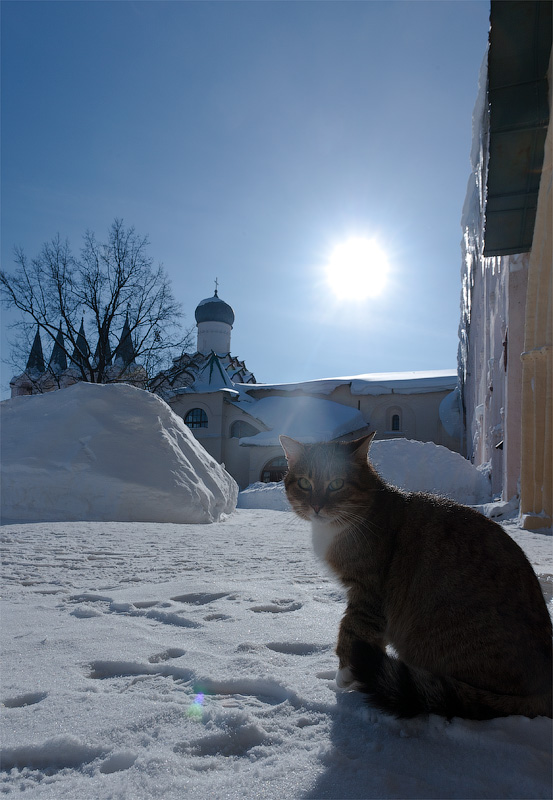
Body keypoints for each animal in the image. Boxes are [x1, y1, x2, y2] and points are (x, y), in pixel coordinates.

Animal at [280, 434, 552, 720]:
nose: (316, 506)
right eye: (304, 483)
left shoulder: (368, 592)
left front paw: (346, 675)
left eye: (336, 484)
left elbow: (352, 628)